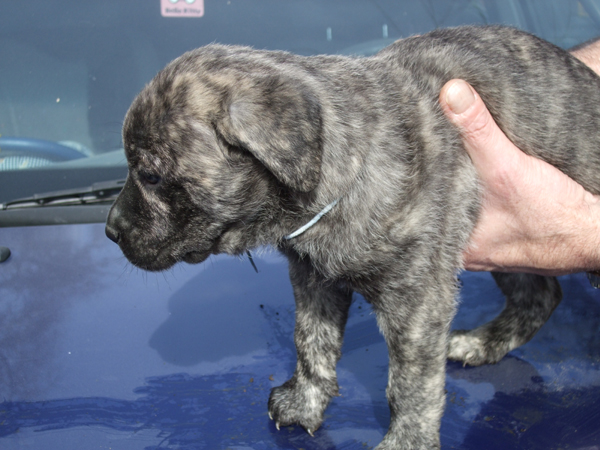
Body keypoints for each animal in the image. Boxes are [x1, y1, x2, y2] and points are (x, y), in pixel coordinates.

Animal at [105, 26, 600, 448]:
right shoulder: (314, 278)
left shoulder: (418, 299)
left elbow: (411, 383)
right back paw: (483, 343)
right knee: (541, 294)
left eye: (150, 175)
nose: (110, 230)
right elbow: (310, 341)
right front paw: (304, 402)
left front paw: (407, 442)